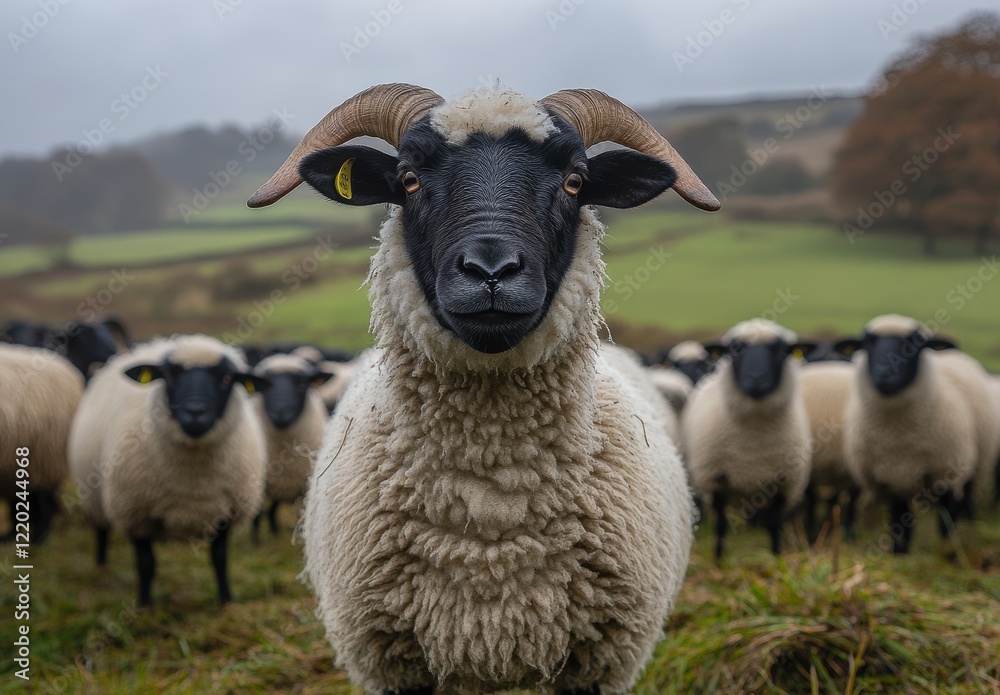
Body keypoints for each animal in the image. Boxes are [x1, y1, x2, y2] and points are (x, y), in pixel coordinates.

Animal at [67, 334, 269, 605]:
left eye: (227, 377)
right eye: (169, 375)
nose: (195, 412)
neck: (192, 478)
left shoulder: (227, 513)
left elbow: (220, 560)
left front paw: (227, 603)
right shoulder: (135, 512)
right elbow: (146, 565)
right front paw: (144, 607)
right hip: (93, 494)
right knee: (101, 531)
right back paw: (101, 566)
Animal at [681, 319, 813, 559]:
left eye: (780, 350)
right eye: (735, 349)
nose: (757, 380)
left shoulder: (783, 483)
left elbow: (774, 524)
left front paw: (775, 558)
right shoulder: (717, 480)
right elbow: (720, 525)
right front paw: (718, 560)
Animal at [839, 314, 1000, 554]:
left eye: (915, 343)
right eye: (868, 342)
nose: (885, 375)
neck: (899, 436)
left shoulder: (946, 475)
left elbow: (946, 522)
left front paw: (948, 552)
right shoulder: (892, 480)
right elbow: (899, 523)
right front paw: (899, 554)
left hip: (970, 461)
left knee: (967, 495)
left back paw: (970, 523)